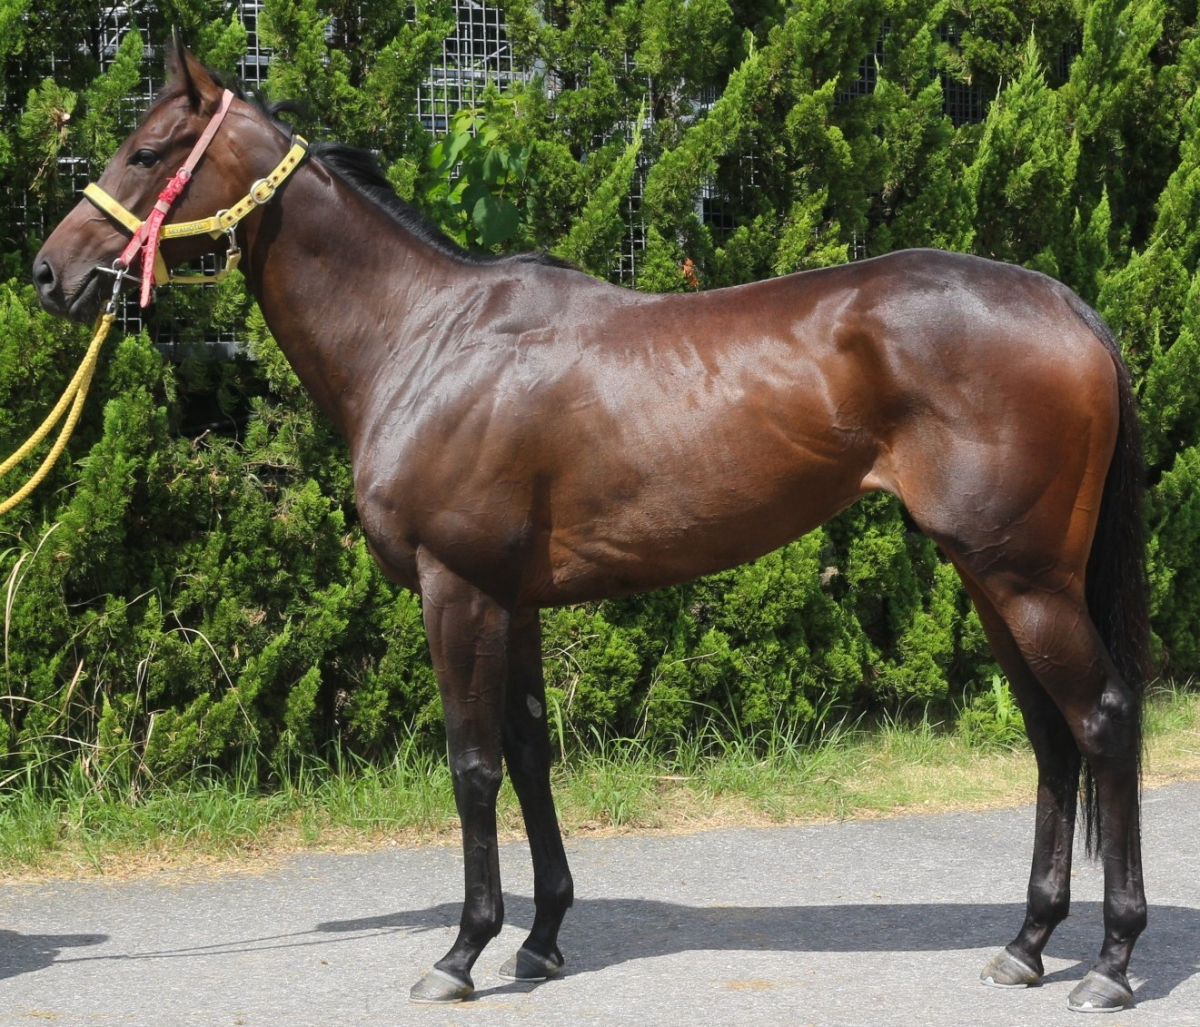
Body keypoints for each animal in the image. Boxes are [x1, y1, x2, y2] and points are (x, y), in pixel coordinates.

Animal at [32, 39, 1150, 1012]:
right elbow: (530, 751)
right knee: (1050, 737)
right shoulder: (515, 598)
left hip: (1026, 578)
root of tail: (1070, 308)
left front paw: (461, 952)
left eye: (148, 150)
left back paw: (1109, 961)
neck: (425, 337)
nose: (51, 272)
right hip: (989, 575)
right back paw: (1026, 944)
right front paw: (539, 938)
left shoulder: (459, 588)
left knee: (1101, 719)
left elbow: (472, 763)